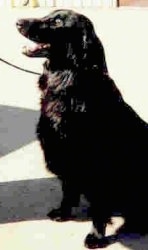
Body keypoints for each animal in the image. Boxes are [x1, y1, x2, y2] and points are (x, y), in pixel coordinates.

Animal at [16, 9, 148, 248]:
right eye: (49, 14)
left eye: (57, 22)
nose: (18, 22)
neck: (68, 79)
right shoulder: (64, 155)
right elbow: (68, 190)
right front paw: (63, 212)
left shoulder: (98, 164)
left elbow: (99, 206)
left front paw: (96, 236)